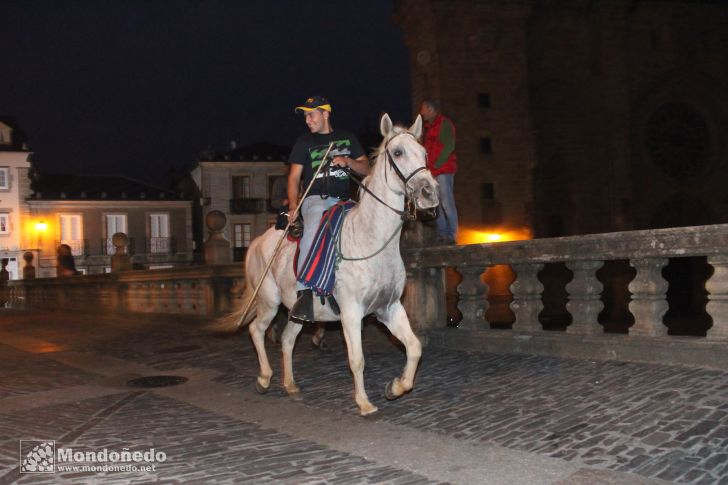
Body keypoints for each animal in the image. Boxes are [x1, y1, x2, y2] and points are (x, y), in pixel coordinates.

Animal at [222, 114, 438, 416]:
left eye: (424, 153)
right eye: (397, 152)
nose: (429, 193)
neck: (370, 240)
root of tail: (257, 242)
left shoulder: (389, 308)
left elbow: (415, 348)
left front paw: (395, 388)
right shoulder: (351, 313)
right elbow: (357, 359)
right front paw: (364, 403)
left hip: (298, 312)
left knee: (287, 340)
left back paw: (290, 384)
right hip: (268, 301)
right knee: (257, 330)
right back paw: (264, 379)